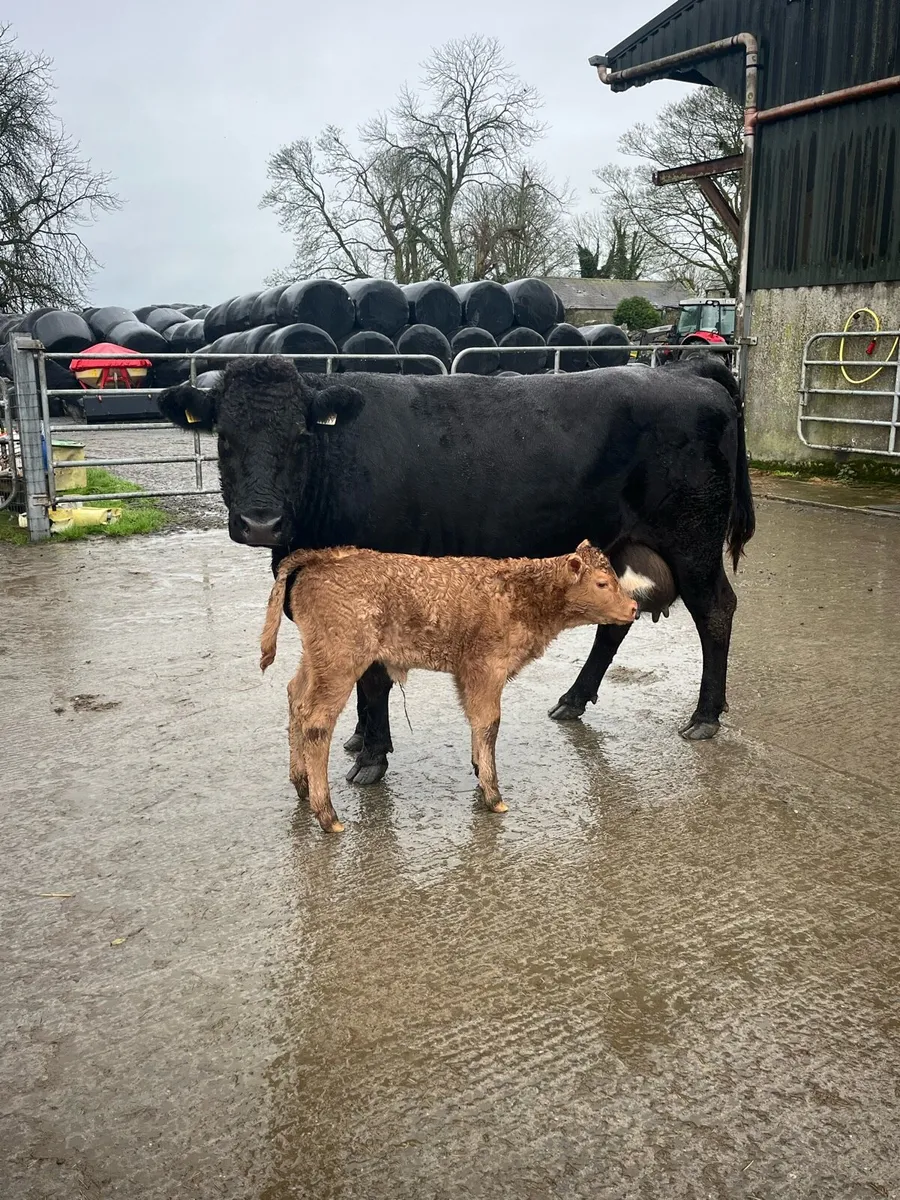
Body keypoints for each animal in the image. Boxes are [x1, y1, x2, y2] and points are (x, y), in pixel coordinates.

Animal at [159, 354, 754, 785]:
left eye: (301, 437)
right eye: (224, 437)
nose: (261, 522)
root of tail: (684, 371)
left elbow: (373, 678)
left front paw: (372, 757)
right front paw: (359, 738)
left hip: (693, 542)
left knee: (717, 611)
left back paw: (705, 715)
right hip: (623, 545)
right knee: (616, 621)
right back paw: (572, 699)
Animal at [260, 541, 638, 832]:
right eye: (602, 583)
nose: (634, 607)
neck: (518, 593)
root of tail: (324, 556)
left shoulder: (469, 674)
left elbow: (476, 723)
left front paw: (479, 772)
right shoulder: (487, 669)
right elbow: (488, 724)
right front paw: (493, 795)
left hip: (317, 660)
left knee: (296, 697)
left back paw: (301, 783)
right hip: (340, 663)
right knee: (316, 722)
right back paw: (327, 815)